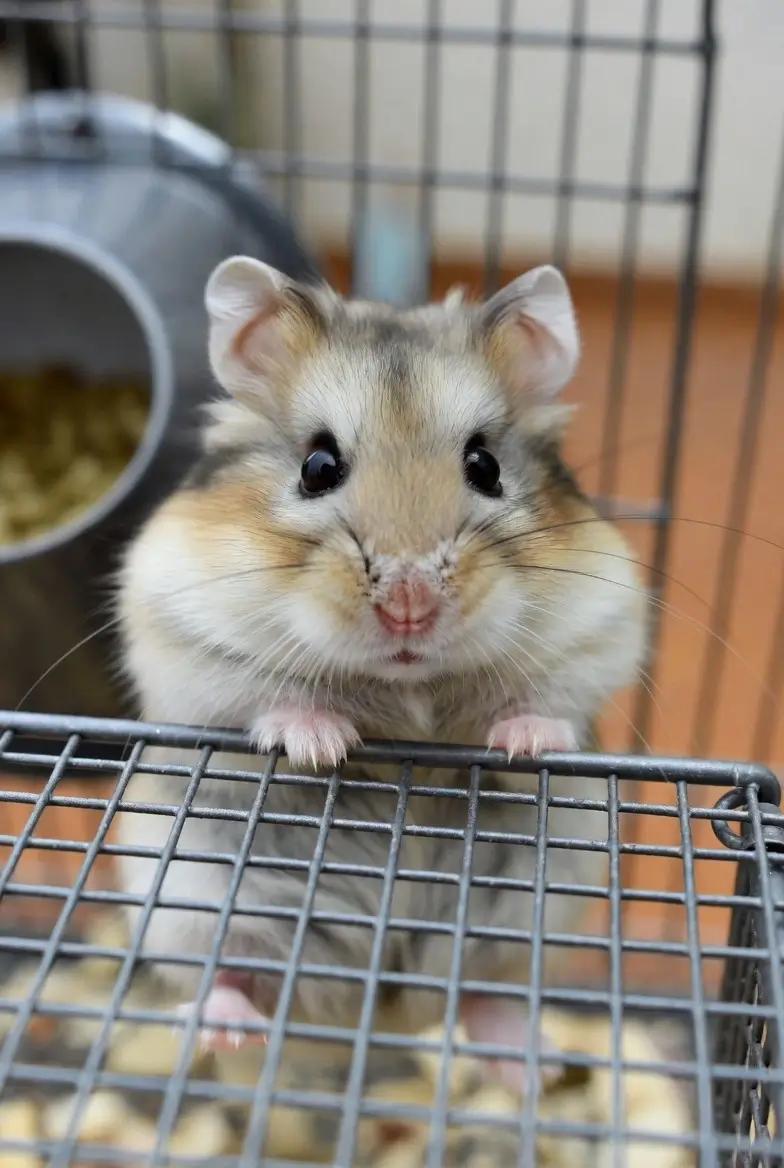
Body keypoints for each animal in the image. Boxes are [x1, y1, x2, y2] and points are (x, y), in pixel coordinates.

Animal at [113, 258, 646, 1097]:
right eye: (317, 467)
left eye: (485, 465)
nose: (408, 601)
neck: (409, 686)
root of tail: (383, 1016)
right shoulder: (179, 639)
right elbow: (264, 700)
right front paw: (323, 744)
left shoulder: (600, 633)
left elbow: (545, 704)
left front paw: (522, 742)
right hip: (191, 905)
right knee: (237, 976)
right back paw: (224, 1029)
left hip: (530, 916)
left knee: (479, 996)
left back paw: (529, 1063)